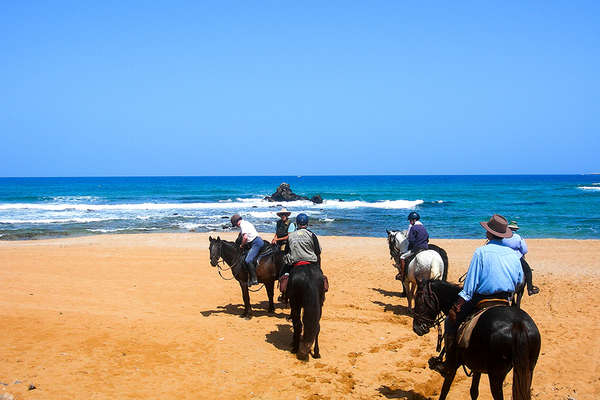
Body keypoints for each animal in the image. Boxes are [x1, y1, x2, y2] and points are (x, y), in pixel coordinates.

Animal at [412, 280, 540, 400]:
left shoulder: (453, 366)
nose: (416, 328)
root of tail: (518, 324)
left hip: (496, 375)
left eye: (418, 298)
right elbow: (474, 391)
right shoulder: (476, 366)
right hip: (528, 370)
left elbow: (445, 390)